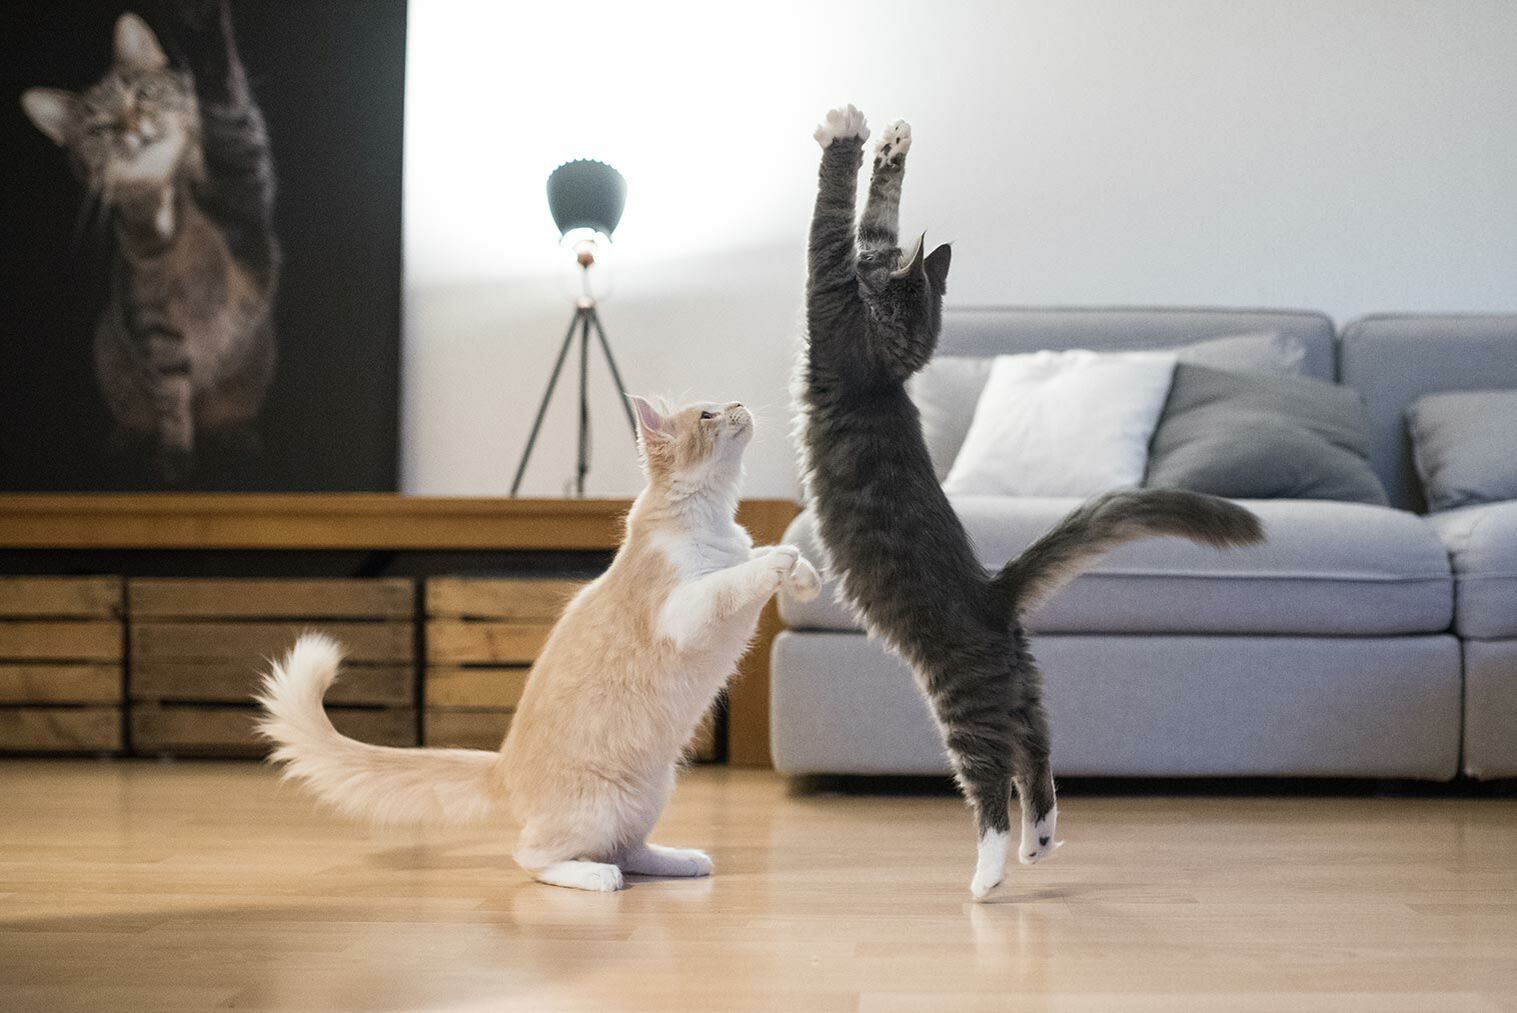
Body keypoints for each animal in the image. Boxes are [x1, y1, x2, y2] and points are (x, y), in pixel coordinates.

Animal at [20, 0, 279, 482]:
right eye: (99, 127)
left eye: (141, 93)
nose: (132, 126)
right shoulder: (152, 318)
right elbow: (171, 396)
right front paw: (175, 454)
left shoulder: (245, 191)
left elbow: (226, 107)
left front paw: (203, 25)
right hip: (109, 351)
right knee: (144, 412)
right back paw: (129, 438)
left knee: (226, 413)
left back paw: (235, 434)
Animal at [257, 394, 819, 891]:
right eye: (707, 414)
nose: (739, 403)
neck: (711, 519)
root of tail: (503, 766)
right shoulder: (681, 609)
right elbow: (737, 576)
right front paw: (784, 560)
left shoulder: (727, 564)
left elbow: (753, 556)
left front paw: (805, 575)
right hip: (597, 805)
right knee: (535, 857)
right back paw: (596, 878)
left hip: (650, 794)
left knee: (627, 849)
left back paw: (681, 860)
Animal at [794, 104, 1268, 903]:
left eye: (875, 286)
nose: (872, 277)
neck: (890, 369)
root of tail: (995, 592)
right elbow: (876, 216)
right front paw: (893, 144)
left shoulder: (830, 306)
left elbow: (832, 217)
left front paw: (847, 134)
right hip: (1023, 687)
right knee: (1040, 756)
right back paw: (1038, 842)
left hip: (962, 703)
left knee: (991, 781)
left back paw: (988, 876)